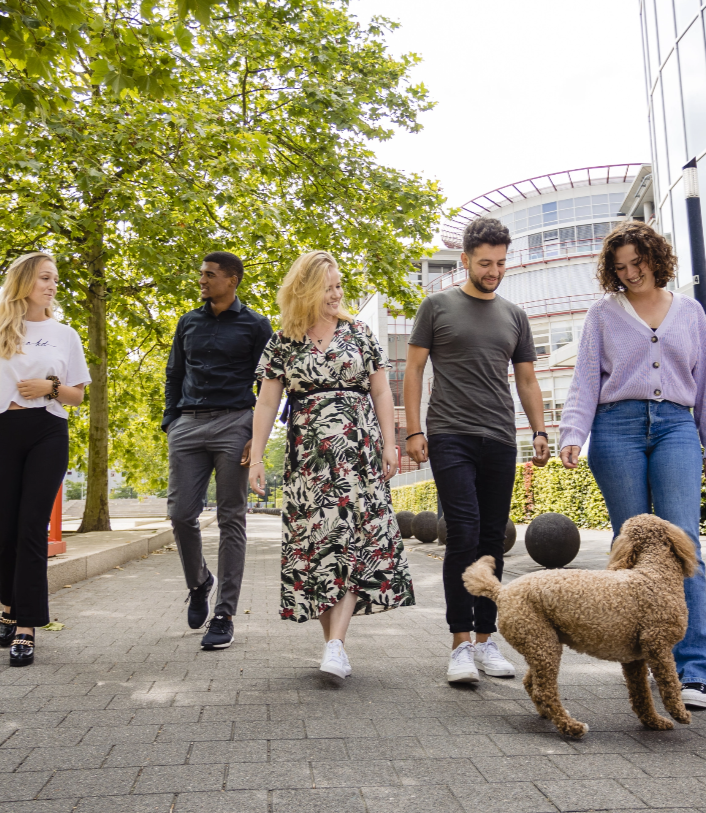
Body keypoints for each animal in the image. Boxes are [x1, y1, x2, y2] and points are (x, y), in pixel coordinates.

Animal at [462, 516, 692, 740]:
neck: (654, 574)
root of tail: (502, 592)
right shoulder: (658, 646)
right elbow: (670, 683)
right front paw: (680, 712)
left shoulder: (634, 659)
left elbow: (641, 694)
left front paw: (654, 721)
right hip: (541, 641)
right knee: (544, 691)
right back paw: (571, 726)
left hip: (540, 643)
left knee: (532, 684)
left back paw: (549, 714)